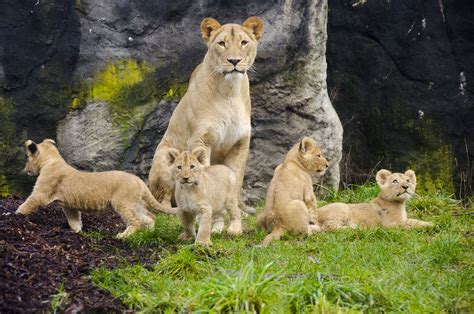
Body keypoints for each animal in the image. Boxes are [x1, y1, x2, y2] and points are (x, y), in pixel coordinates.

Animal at [148, 17, 262, 213]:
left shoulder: (240, 143)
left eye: (244, 42)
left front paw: (239, 210)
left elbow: (236, 179)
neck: (230, 92)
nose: (234, 61)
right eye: (222, 43)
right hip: (164, 158)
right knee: (163, 202)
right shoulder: (201, 140)